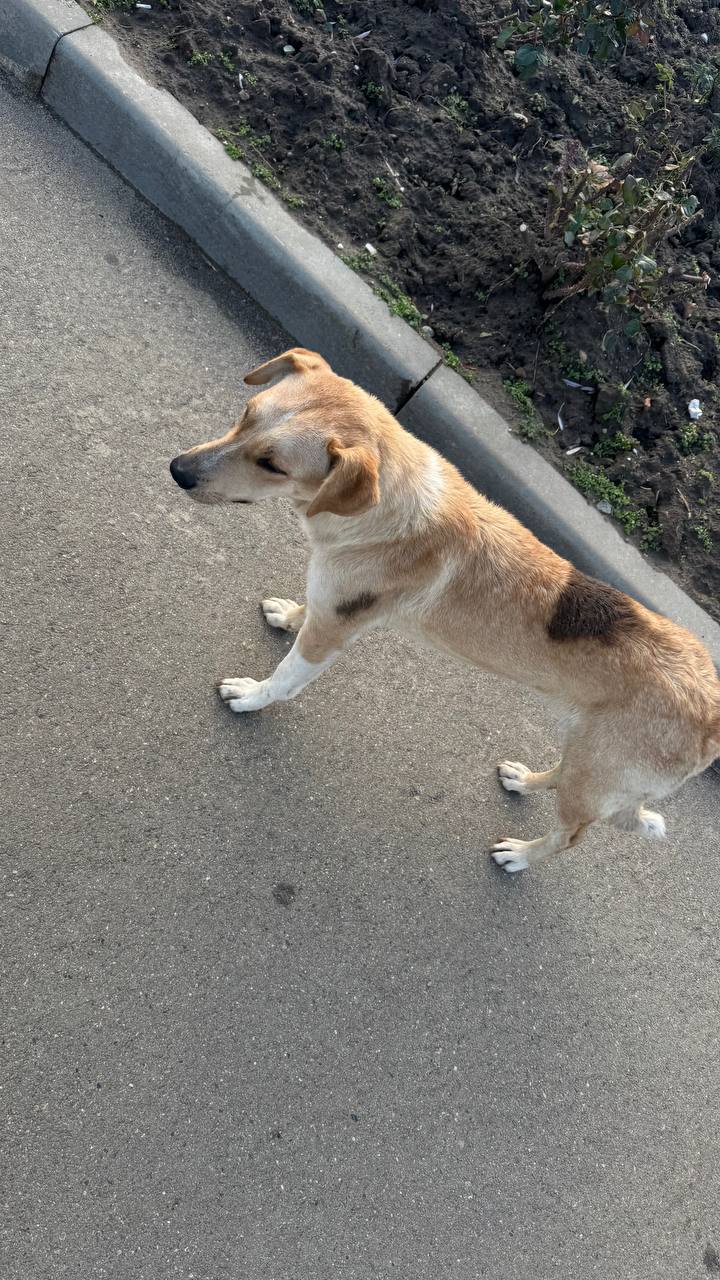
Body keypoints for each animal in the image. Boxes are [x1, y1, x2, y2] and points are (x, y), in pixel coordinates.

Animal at [169, 345, 717, 875]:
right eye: (247, 413)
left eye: (272, 464)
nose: (177, 471)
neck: (385, 505)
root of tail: (712, 711)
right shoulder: (335, 607)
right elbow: (306, 612)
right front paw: (287, 616)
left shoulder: (331, 632)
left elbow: (284, 679)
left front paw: (250, 696)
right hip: (588, 758)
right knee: (563, 778)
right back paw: (524, 780)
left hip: (596, 775)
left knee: (571, 836)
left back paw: (520, 856)